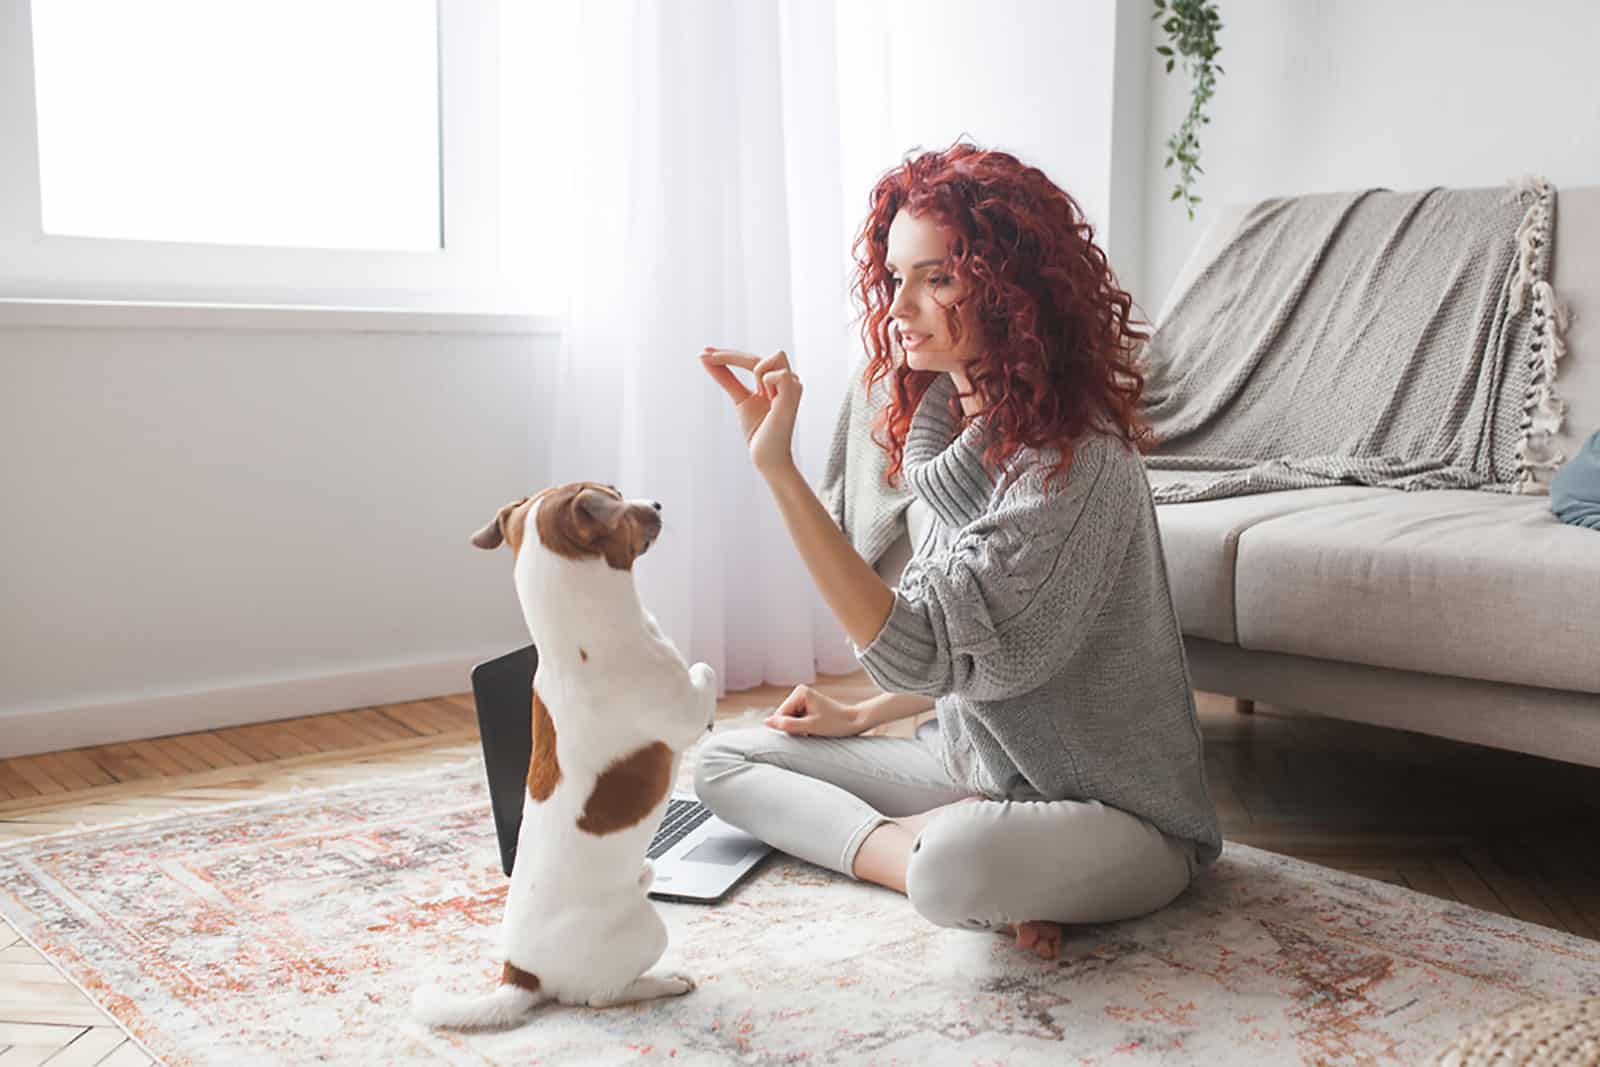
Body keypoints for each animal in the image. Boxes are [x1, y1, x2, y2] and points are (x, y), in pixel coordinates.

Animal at [409, 483, 716, 1023]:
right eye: (619, 500)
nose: (657, 504)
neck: (574, 645)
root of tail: (520, 974)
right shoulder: (684, 711)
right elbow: (703, 674)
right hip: (645, 931)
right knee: (600, 996)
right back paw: (667, 981)